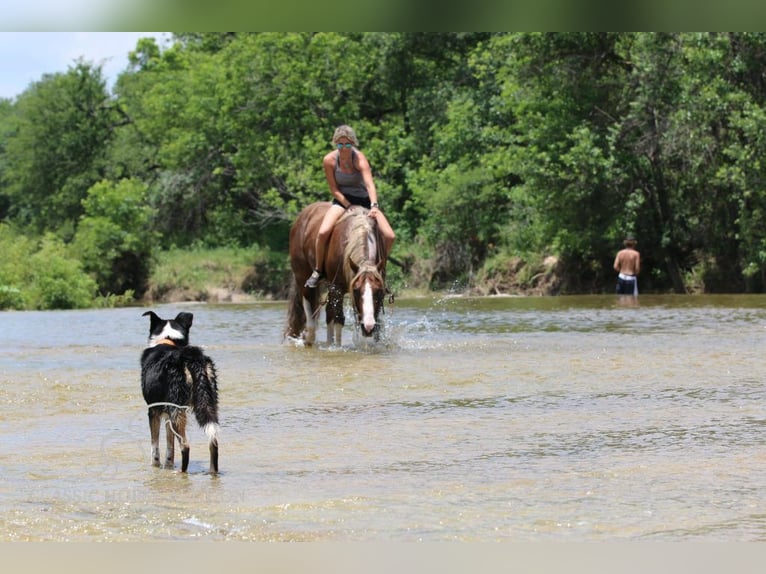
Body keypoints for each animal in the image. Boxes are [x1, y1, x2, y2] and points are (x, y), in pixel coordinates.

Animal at [141, 312, 220, 474]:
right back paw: (212, 473)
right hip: (208, 402)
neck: (168, 340)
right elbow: (170, 448)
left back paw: (181, 473)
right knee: (213, 442)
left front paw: (156, 467)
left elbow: (155, 448)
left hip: (176, 409)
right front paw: (168, 465)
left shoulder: (153, 410)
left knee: (185, 446)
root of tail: (191, 357)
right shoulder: (167, 416)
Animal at [286, 202, 390, 346]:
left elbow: (377, 320)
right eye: (356, 290)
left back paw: (328, 343)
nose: (368, 327)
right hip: (303, 276)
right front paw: (338, 347)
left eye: (379, 291)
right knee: (308, 305)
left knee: (328, 312)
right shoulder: (338, 287)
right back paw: (310, 337)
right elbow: (339, 319)